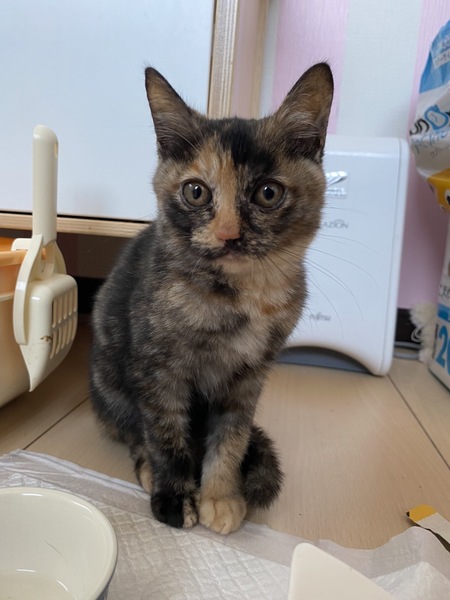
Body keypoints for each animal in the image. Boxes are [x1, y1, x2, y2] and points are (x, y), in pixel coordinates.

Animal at [90, 63, 333, 535]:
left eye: (268, 193)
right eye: (196, 191)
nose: (228, 234)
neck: (243, 296)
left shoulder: (248, 377)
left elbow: (232, 437)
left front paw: (221, 496)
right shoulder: (157, 369)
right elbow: (165, 433)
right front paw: (175, 497)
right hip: (109, 382)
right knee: (134, 429)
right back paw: (148, 468)